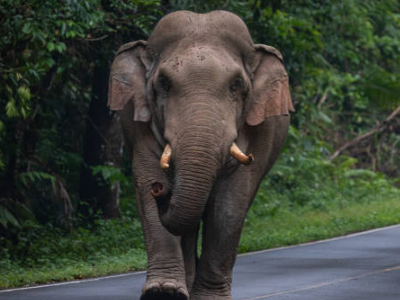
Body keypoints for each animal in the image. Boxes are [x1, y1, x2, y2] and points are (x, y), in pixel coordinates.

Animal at [108, 9, 296, 300]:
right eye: (164, 83)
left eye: (236, 85)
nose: (161, 190)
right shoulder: (137, 124)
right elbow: (147, 178)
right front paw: (164, 292)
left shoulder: (259, 130)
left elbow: (230, 205)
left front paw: (208, 297)